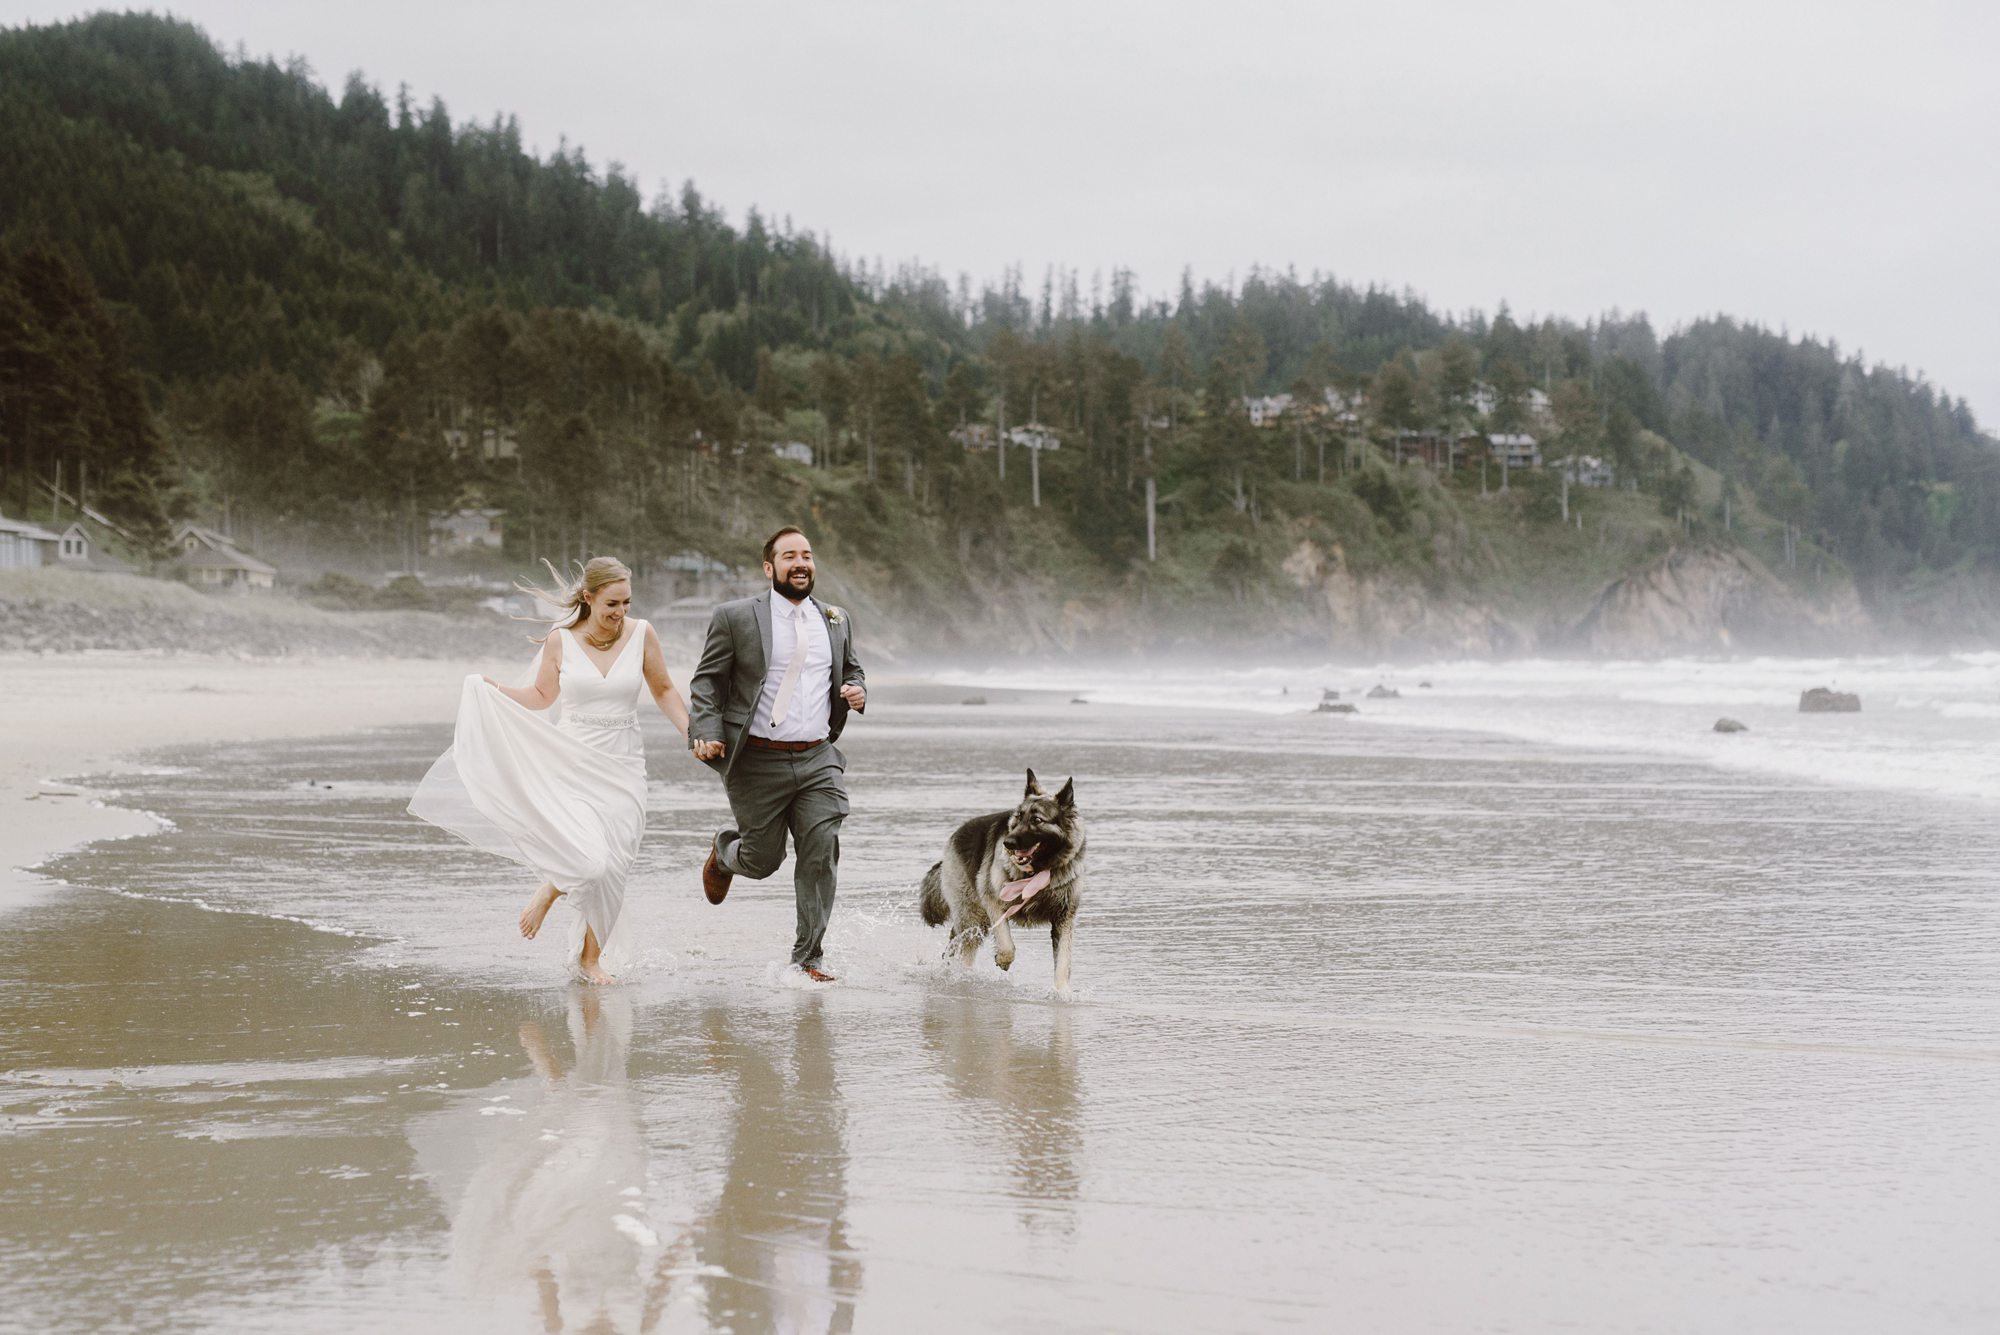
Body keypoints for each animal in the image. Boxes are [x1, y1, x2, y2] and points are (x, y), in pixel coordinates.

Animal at [924, 771, 1096, 991]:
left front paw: (1062, 993)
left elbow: (1063, 963)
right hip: (972, 917)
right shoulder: (994, 902)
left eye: (1037, 820)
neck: (1037, 872)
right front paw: (1004, 960)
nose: (1008, 843)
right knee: (962, 947)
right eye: (1019, 817)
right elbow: (1006, 943)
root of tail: (955, 836)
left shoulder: (1064, 919)